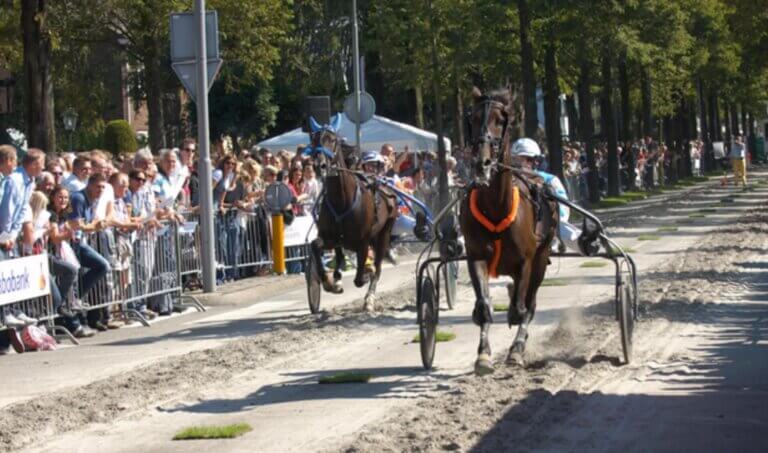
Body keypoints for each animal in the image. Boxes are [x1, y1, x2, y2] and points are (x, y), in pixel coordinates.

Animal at [308, 115, 400, 310]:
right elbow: (315, 245)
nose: (320, 165)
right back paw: (337, 277)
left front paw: (365, 274)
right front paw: (329, 282)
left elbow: (360, 278)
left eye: (333, 140)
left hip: (383, 233)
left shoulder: (363, 242)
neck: (342, 200)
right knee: (340, 255)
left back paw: (370, 296)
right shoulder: (330, 237)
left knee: (378, 266)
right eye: (313, 140)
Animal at [456, 86, 560, 372]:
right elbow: (484, 306)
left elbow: (521, 309)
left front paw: (516, 350)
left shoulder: (526, 262)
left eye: (500, 120)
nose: (482, 163)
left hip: (540, 259)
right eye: (473, 118)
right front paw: (483, 355)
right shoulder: (476, 256)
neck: (496, 207)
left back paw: (518, 346)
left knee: (530, 302)